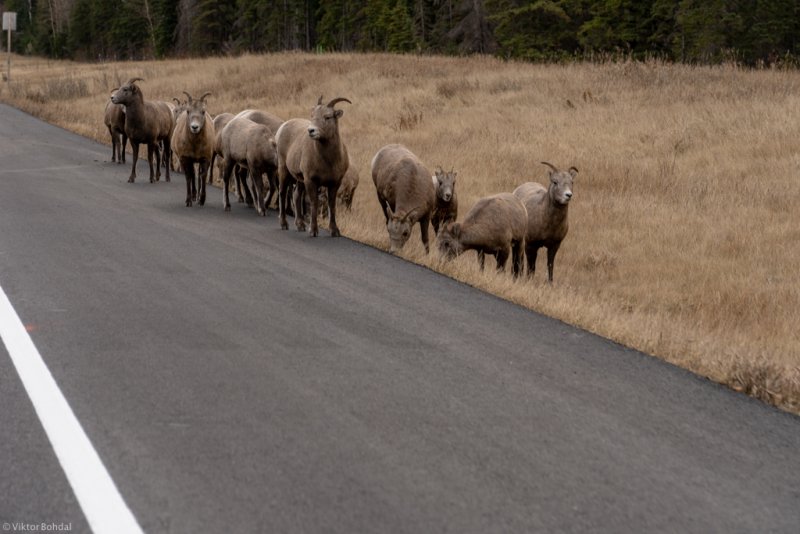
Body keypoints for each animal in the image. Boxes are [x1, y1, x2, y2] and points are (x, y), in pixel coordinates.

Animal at [276, 97, 350, 239]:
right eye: (312, 116)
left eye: (327, 117)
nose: (311, 131)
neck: (328, 161)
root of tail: (282, 127)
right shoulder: (311, 181)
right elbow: (314, 203)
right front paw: (313, 230)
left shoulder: (335, 183)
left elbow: (332, 205)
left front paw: (335, 231)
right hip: (284, 170)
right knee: (282, 193)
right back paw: (283, 224)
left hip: (300, 180)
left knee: (296, 195)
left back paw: (300, 225)